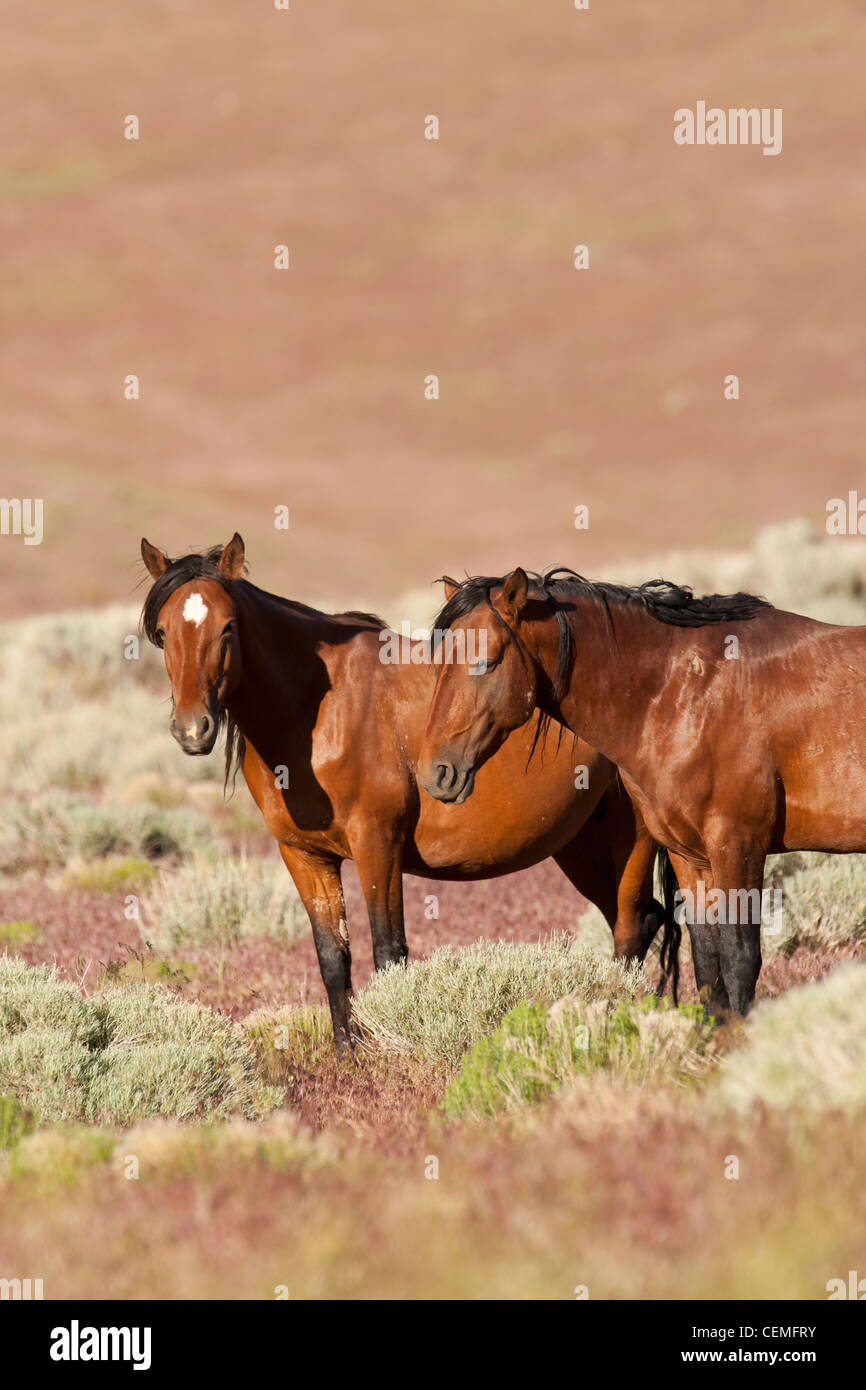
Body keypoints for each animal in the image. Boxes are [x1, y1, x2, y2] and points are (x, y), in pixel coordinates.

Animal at [140, 535, 671, 1051]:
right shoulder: (305, 856)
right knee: (641, 922)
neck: (320, 709)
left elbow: (389, 953)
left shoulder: (378, 846)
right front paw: (348, 1056)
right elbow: (333, 958)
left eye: (227, 627)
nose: (193, 729)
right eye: (163, 633)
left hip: (633, 839)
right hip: (582, 847)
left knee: (631, 928)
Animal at [418, 567, 866, 1018]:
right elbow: (708, 962)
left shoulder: (738, 847)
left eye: (486, 662)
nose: (435, 772)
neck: (686, 694)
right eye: (438, 665)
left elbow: (740, 959)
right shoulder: (691, 857)